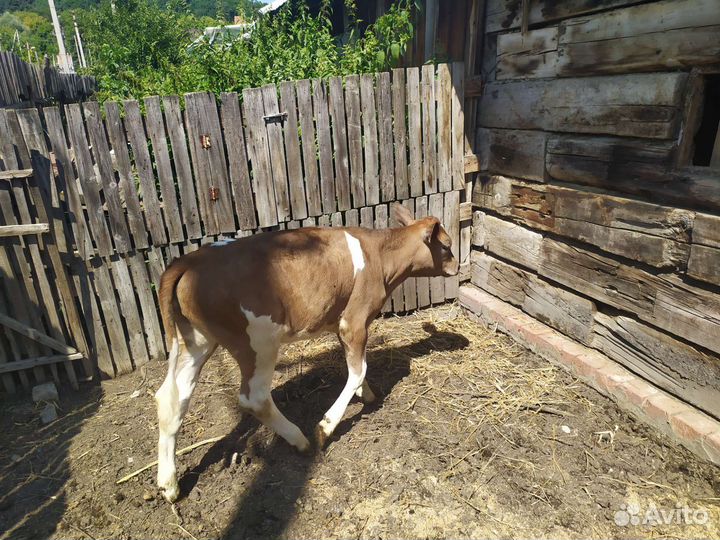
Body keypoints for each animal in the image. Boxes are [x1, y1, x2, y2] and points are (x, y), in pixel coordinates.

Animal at [154, 203, 459, 502]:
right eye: (446, 245)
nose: (456, 266)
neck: (380, 256)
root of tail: (190, 260)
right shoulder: (354, 321)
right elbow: (359, 371)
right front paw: (327, 425)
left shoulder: (341, 323)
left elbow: (356, 368)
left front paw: (368, 395)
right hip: (257, 343)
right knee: (255, 398)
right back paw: (299, 440)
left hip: (199, 340)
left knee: (172, 398)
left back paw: (168, 484)